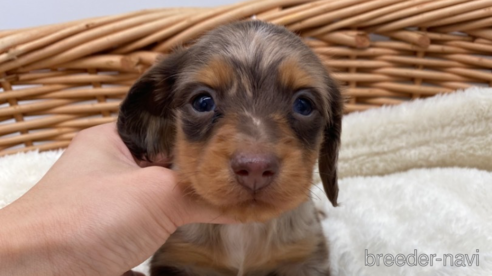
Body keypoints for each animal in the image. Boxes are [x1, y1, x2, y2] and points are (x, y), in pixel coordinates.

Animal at [118, 20, 342, 276]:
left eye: (303, 105)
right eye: (202, 102)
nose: (255, 168)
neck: (246, 229)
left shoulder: (305, 258)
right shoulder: (178, 258)